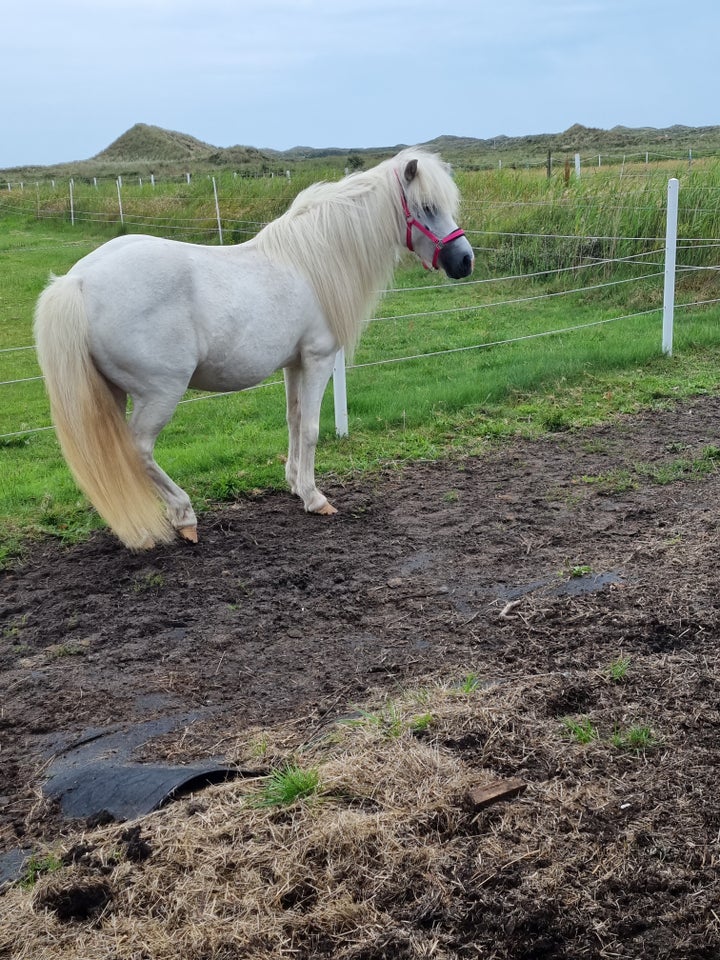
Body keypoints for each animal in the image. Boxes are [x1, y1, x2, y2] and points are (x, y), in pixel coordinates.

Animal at [33, 147, 476, 548]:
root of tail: (78, 282)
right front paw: (315, 498)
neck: (313, 259)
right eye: (427, 207)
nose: (465, 261)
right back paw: (184, 516)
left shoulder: (294, 364)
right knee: (138, 450)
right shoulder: (317, 359)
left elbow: (294, 420)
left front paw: (295, 484)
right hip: (159, 393)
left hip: (115, 392)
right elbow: (312, 428)